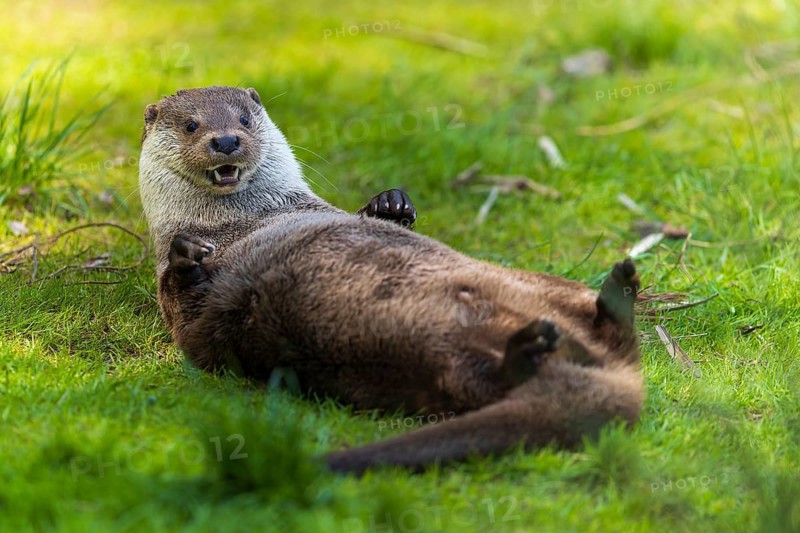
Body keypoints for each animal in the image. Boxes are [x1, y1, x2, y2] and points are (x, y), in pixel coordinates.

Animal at [139, 86, 644, 474]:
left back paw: (617, 292)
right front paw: (187, 254)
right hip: (437, 363)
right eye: (191, 126)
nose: (226, 140)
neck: (248, 219)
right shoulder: (193, 321)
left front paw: (391, 204)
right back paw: (531, 348)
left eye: (244, 118)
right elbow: (191, 324)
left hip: (547, 286)